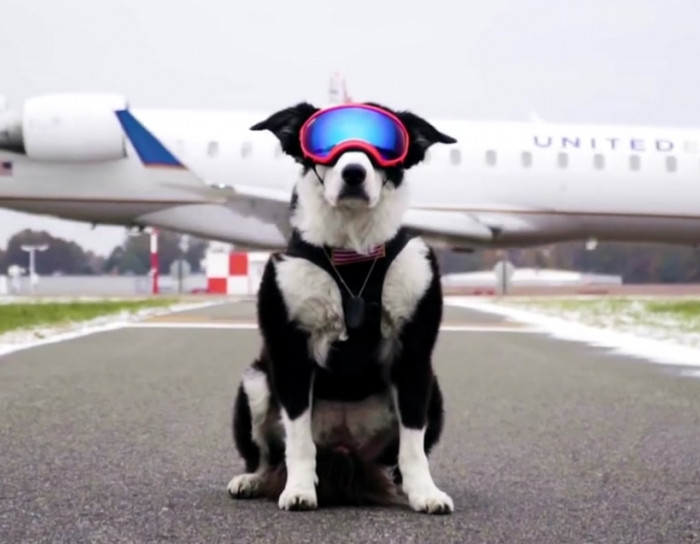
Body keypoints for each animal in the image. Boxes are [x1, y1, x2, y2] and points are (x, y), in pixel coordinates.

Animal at [227, 101, 460, 516]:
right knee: (268, 456)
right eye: (325, 142)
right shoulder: (290, 354)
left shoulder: (414, 356)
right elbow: (298, 440)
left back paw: (399, 486)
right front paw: (299, 490)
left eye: (385, 144)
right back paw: (251, 480)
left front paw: (425, 492)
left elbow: (413, 444)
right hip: (254, 382)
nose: (353, 172)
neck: (353, 253)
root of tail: (344, 452)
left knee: (395, 459)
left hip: (432, 391)